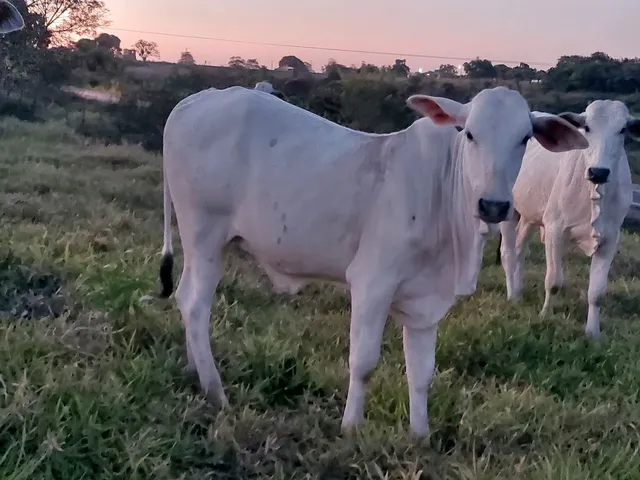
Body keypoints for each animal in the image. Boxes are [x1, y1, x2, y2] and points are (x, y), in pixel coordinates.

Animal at [158, 85, 588, 437]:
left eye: (524, 138)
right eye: (469, 134)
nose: (494, 205)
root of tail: (194, 100)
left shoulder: (425, 301)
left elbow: (421, 372)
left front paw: (420, 435)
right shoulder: (372, 282)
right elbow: (363, 362)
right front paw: (351, 427)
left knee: (185, 301)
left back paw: (194, 371)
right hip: (204, 236)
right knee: (194, 304)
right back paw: (215, 391)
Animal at [494, 100, 638, 338]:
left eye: (623, 129)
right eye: (586, 127)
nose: (599, 172)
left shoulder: (610, 239)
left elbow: (597, 291)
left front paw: (593, 332)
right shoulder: (555, 230)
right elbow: (553, 281)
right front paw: (545, 314)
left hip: (530, 215)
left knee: (520, 249)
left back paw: (519, 290)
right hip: (509, 211)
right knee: (508, 253)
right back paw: (512, 296)